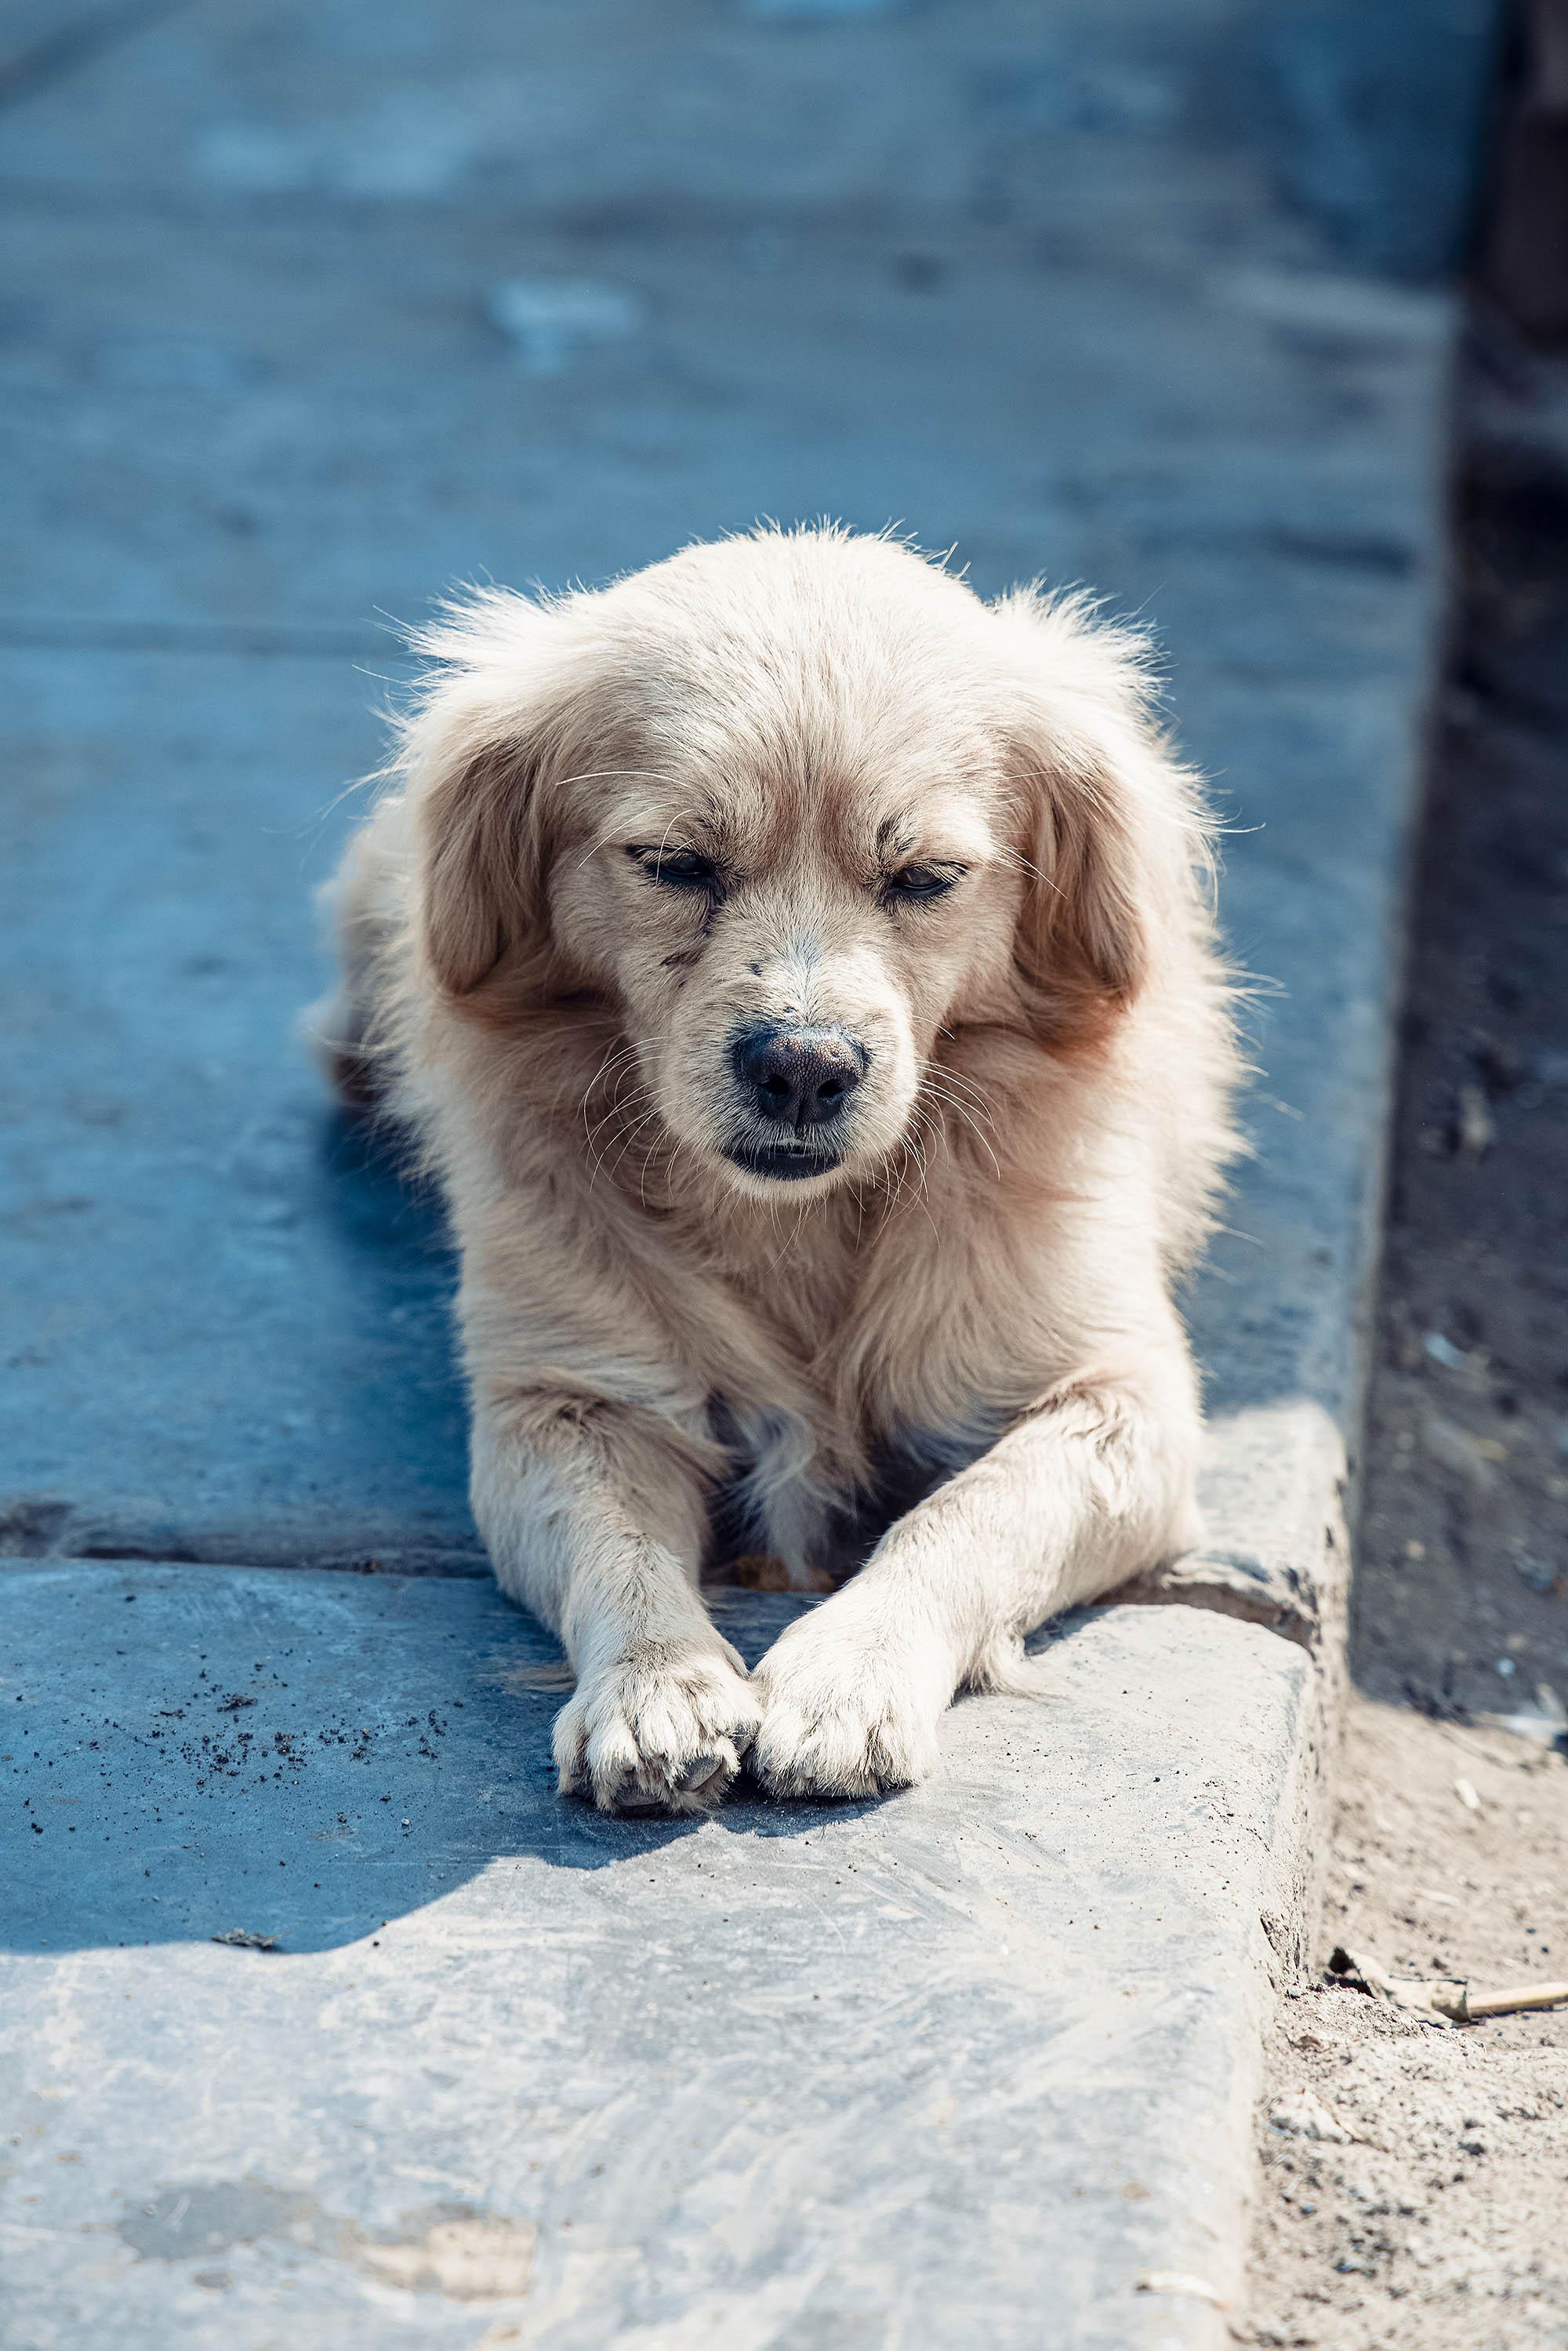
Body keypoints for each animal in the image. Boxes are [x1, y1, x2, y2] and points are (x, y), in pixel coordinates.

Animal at [312, 529, 1241, 1815]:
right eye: (673, 862)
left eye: (926, 876)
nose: (803, 1068)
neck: (795, 1228)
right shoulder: (563, 1399)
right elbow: (619, 1549)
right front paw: (656, 1687)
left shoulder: (1123, 1398)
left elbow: (964, 1517)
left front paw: (849, 1674)